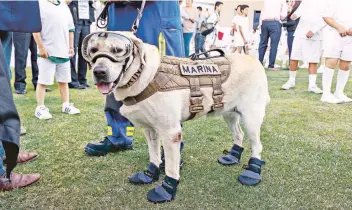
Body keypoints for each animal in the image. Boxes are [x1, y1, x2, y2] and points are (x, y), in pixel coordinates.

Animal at [82, 32, 270, 203]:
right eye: (92, 50)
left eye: (118, 50)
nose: (99, 72)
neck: (143, 76)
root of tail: (254, 60)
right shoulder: (150, 130)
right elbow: (154, 156)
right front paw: (149, 174)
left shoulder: (171, 133)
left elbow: (171, 168)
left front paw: (166, 190)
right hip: (229, 113)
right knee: (239, 134)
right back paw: (233, 157)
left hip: (251, 117)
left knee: (257, 145)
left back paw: (252, 172)